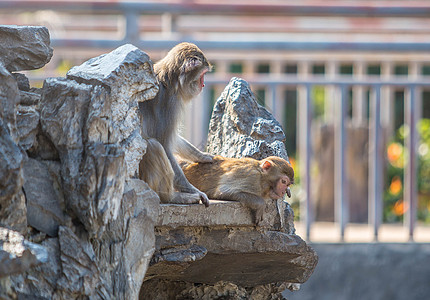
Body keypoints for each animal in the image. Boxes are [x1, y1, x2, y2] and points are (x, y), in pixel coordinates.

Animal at [139, 41, 213, 206]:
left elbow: (173, 139)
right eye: (202, 75)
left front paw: (201, 155)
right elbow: (165, 145)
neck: (170, 84)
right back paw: (172, 197)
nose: (203, 85)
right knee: (154, 146)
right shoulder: (168, 104)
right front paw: (193, 191)